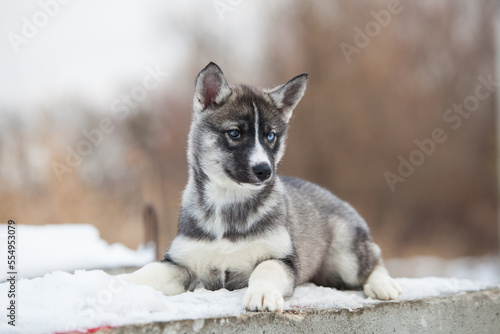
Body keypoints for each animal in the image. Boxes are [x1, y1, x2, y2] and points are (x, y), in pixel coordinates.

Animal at [120, 62, 402, 310]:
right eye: (235, 133)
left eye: (270, 136)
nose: (265, 170)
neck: (229, 203)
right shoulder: (181, 262)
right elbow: (150, 271)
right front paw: (120, 283)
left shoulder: (283, 260)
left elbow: (265, 268)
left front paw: (263, 294)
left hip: (347, 251)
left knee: (374, 262)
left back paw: (383, 285)